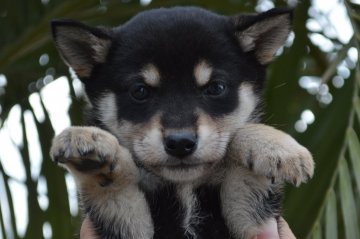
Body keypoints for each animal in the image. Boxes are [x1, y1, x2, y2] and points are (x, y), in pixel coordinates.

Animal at [49, 7, 314, 239]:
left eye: (216, 88)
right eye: (140, 91)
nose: (180, 143)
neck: (185, 188)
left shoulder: (252, 220)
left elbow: (244, 155)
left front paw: (274, 147)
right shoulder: (126, 226)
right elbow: (114, 191)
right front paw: (89, 147)